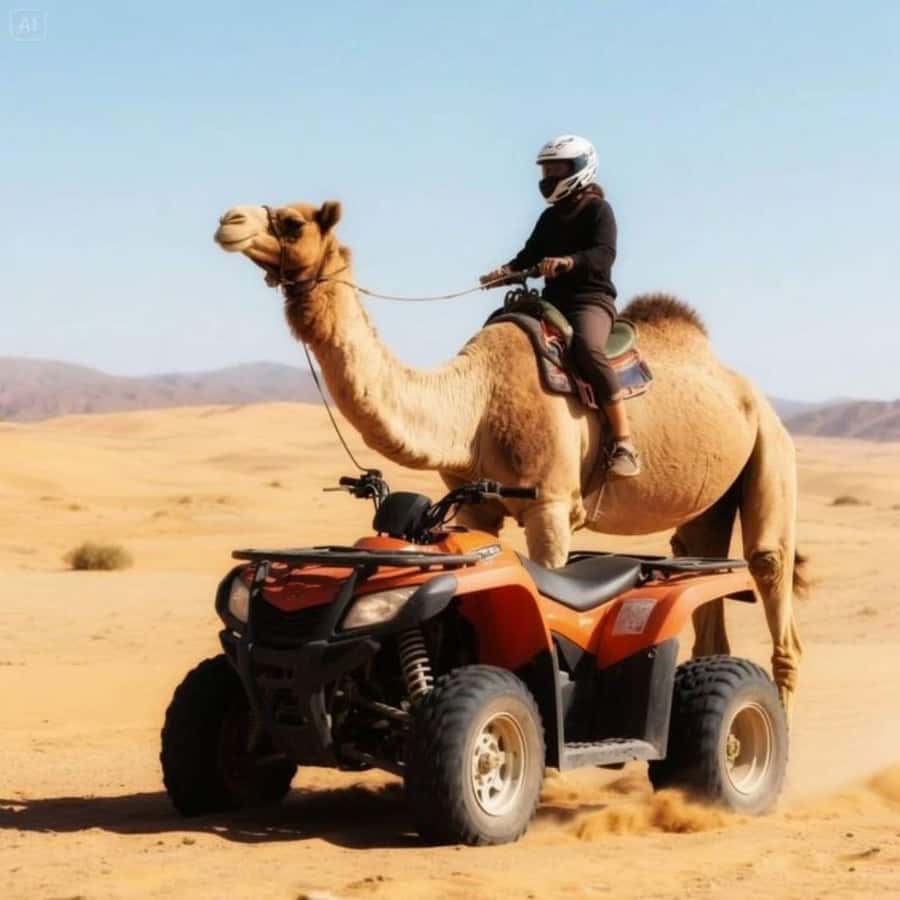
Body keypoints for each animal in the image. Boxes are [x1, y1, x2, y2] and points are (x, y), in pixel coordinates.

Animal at [213, 200, 806, 713]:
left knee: (768, 565)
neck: (475, 401)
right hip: (708, 502)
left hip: (771, 446)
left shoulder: (551, 505)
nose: (229, 220)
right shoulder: (475, 503)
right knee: (702, 573)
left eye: (292, 222)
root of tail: (746, 389)